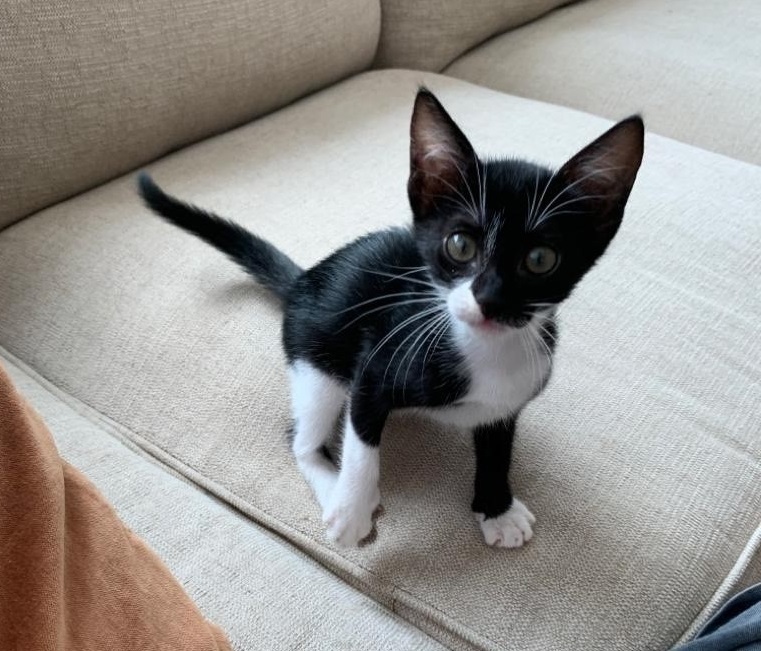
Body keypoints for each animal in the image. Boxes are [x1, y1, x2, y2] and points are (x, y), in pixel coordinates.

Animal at [137, 90, 640, 552]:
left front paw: (497, 508)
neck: (485, 351)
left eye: (540, 259)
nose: (490, 300)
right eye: (460, 245)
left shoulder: (511, 397)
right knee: (301, 437)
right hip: (317, 361)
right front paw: (352, 510)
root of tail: (303, 280)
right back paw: (332, 489)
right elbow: (363, 443)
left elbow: (498, 449)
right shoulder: (378, 363)